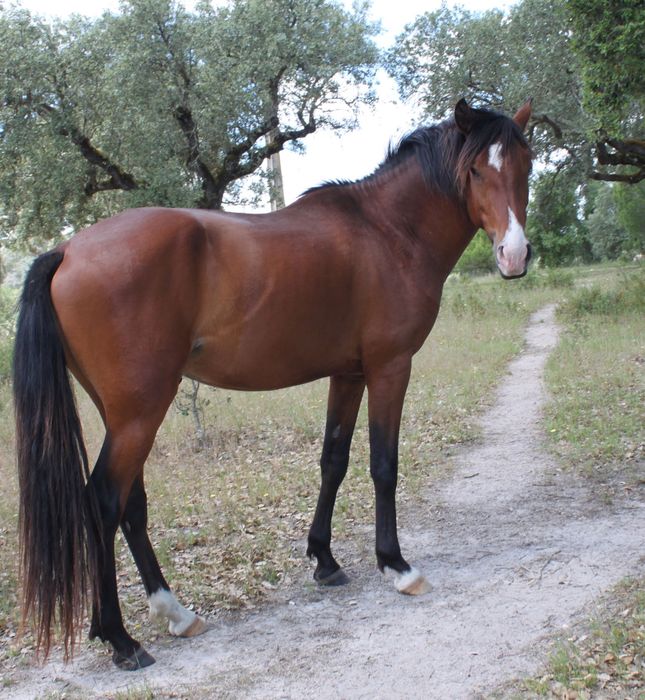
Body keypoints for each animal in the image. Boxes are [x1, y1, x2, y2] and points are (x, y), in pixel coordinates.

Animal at [14, 98, 532, 670]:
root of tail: (67, 251)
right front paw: (396, 565)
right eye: (476, 171)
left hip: (122, 414)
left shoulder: (349, 373)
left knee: (130, 505)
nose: (515, 255)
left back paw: (172, 613)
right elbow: (383, 465)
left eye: (525, 167)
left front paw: (325, 560)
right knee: (104, 501)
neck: (388, 230)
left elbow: (333, 460)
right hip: (140, 413)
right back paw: (121, 639)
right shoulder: (389, 367)